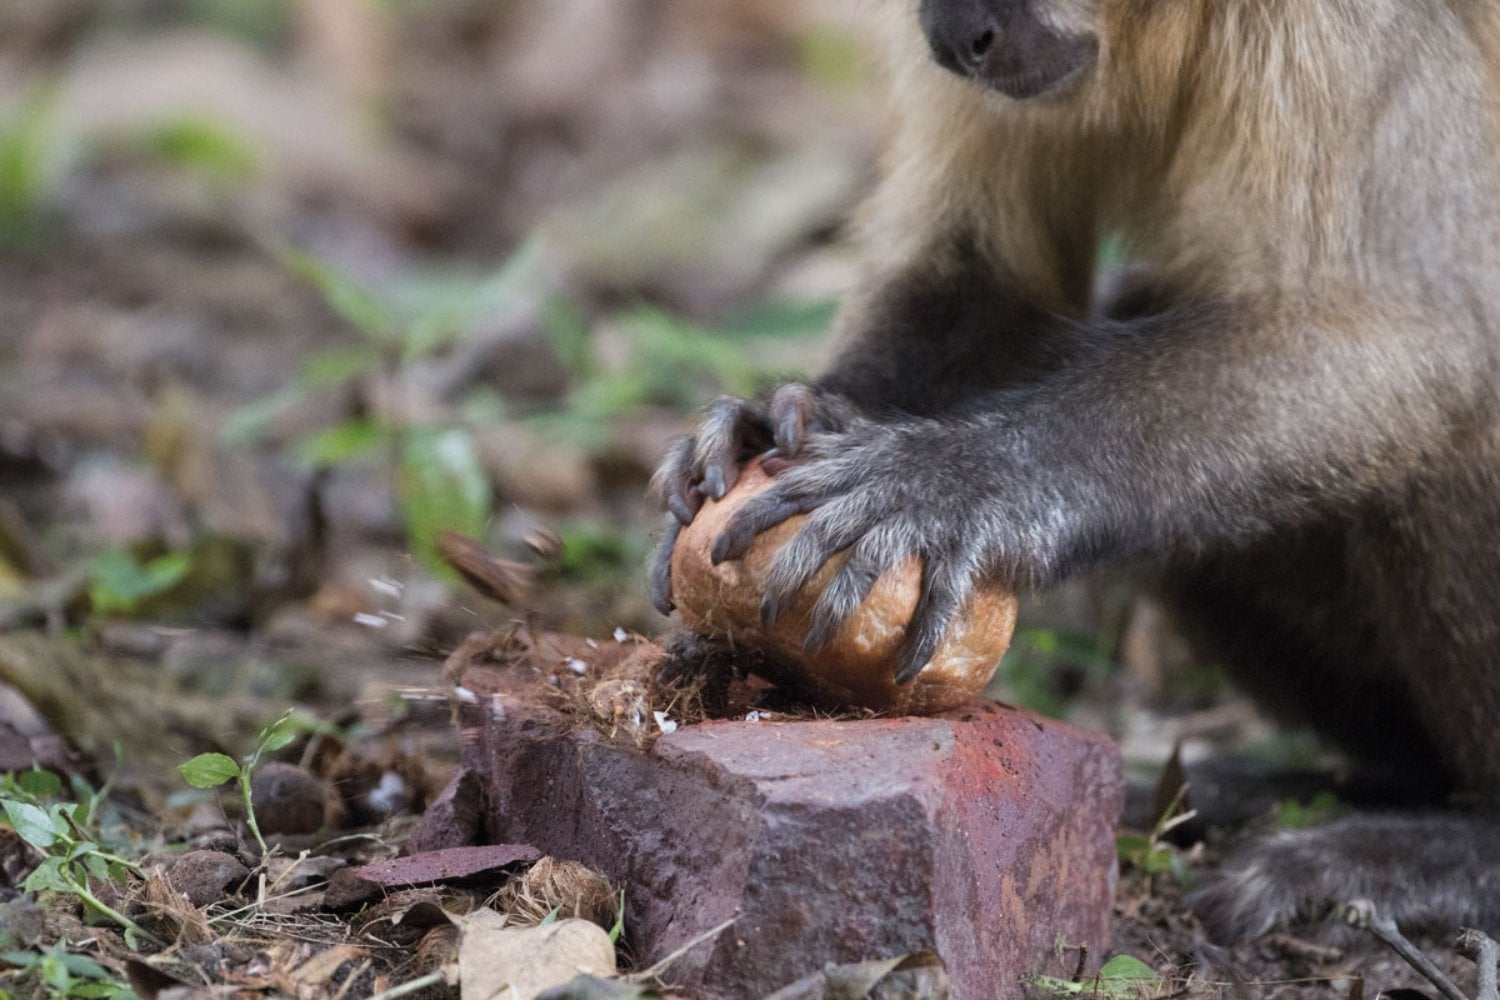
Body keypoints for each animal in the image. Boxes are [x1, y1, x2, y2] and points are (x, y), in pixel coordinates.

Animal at [649, 0, 1500, 944]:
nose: (955, 40)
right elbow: (991, 276)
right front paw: (795, 416)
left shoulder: (1353, 25)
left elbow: (1419, 338)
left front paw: (963, 480)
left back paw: (1454, 851)